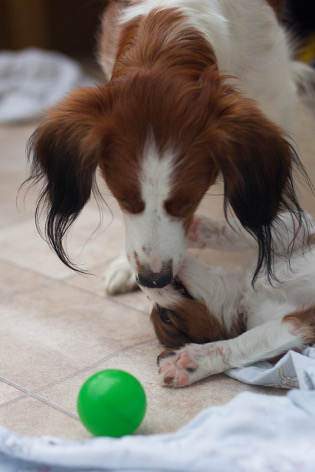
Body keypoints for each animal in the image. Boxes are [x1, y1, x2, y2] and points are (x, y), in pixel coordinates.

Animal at [26, 2, 314, 292]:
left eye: (190, 202)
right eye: (123, 199)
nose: (153, 280)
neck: (164, 35)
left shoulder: (279, 102)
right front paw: (124, 265)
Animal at [144, 211, 315, 388]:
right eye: (165, 317)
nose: (139, 280)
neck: (245, 292)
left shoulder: (298, 236)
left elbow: (289, 223)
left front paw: (193, 228)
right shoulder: (299, 327)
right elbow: (243, 343)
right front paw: (191, 362)